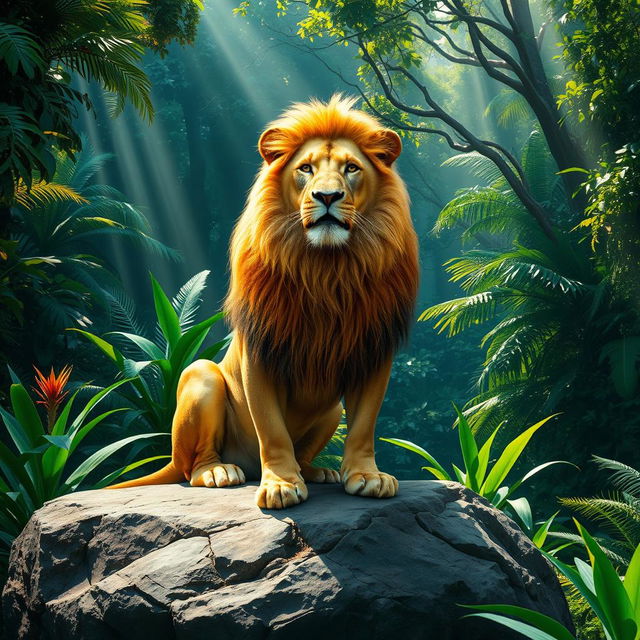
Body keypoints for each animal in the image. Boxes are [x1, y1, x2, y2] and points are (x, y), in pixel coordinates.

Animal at [110, 95, 419, 509]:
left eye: (351, 168)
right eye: (305, 169)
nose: (327, 197)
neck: (327, 268)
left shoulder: (373, 350)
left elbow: (364, 425)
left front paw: (366, 475)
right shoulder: (261, 348)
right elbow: (271, 428)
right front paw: (281, 484)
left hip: (331, 409)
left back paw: (317, 471)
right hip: (201, 376)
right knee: (191, 467)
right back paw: (218, 472)